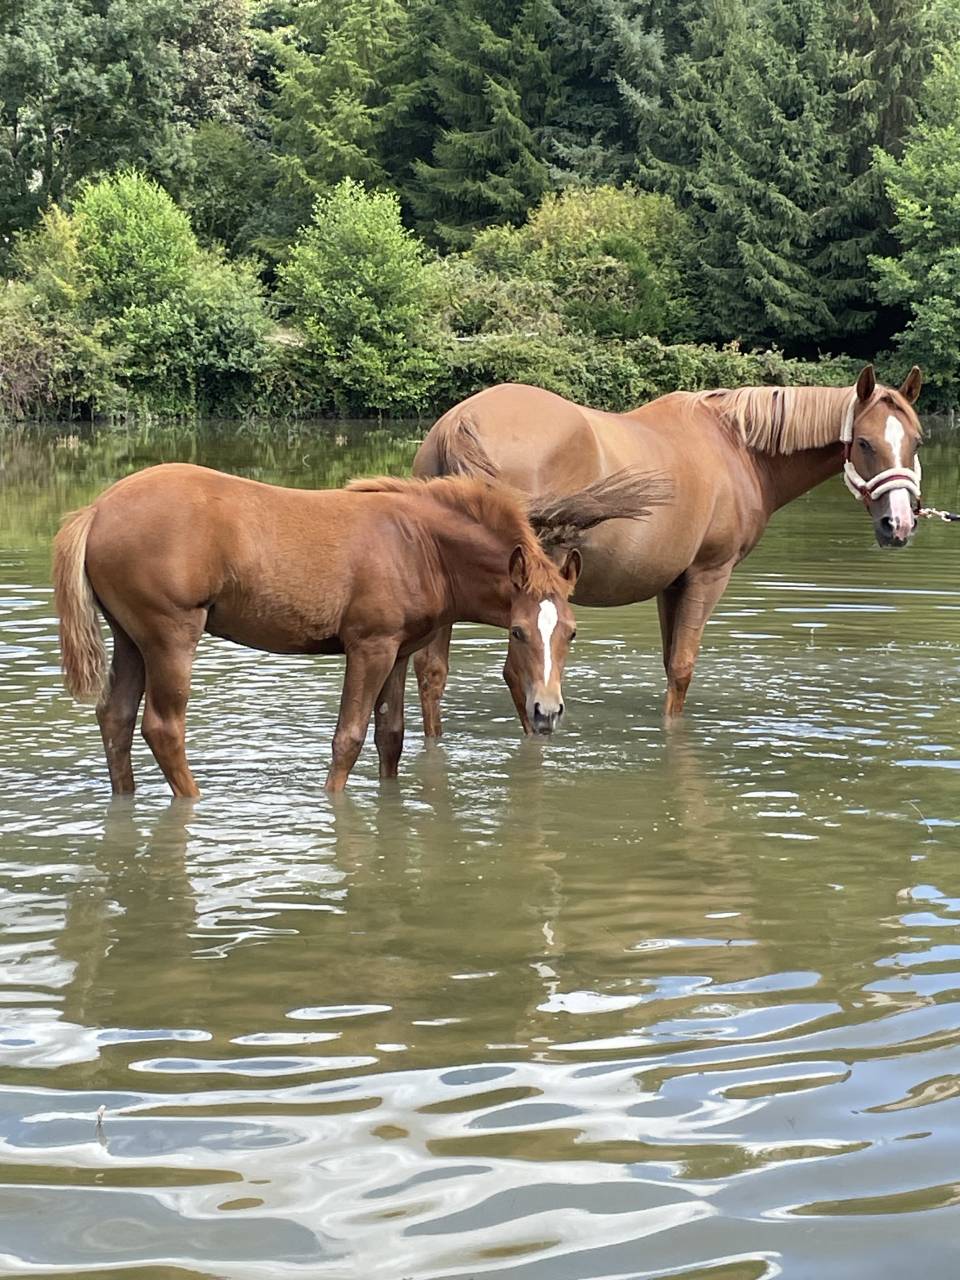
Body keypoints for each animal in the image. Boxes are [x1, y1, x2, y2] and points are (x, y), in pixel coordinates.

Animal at [52, 462, 668, 795]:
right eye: (517, 632)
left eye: (570, 633)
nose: (546, 712)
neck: (421, 546)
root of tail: (97, 510)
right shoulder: (368, 648)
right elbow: (347, 740)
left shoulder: (399, 652)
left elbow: (390, 736)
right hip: (170, 637)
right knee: (162, 727)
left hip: (132, 638)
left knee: (116, 719)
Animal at [410, 363, 924, 736]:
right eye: (864, 442)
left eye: (916, 441)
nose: (898, 524)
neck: (737, 447)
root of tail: (460, 422)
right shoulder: (708, 575)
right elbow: (681, 670)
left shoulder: (670, 585)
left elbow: (667, 662)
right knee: (517, 678)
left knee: (432, 673)